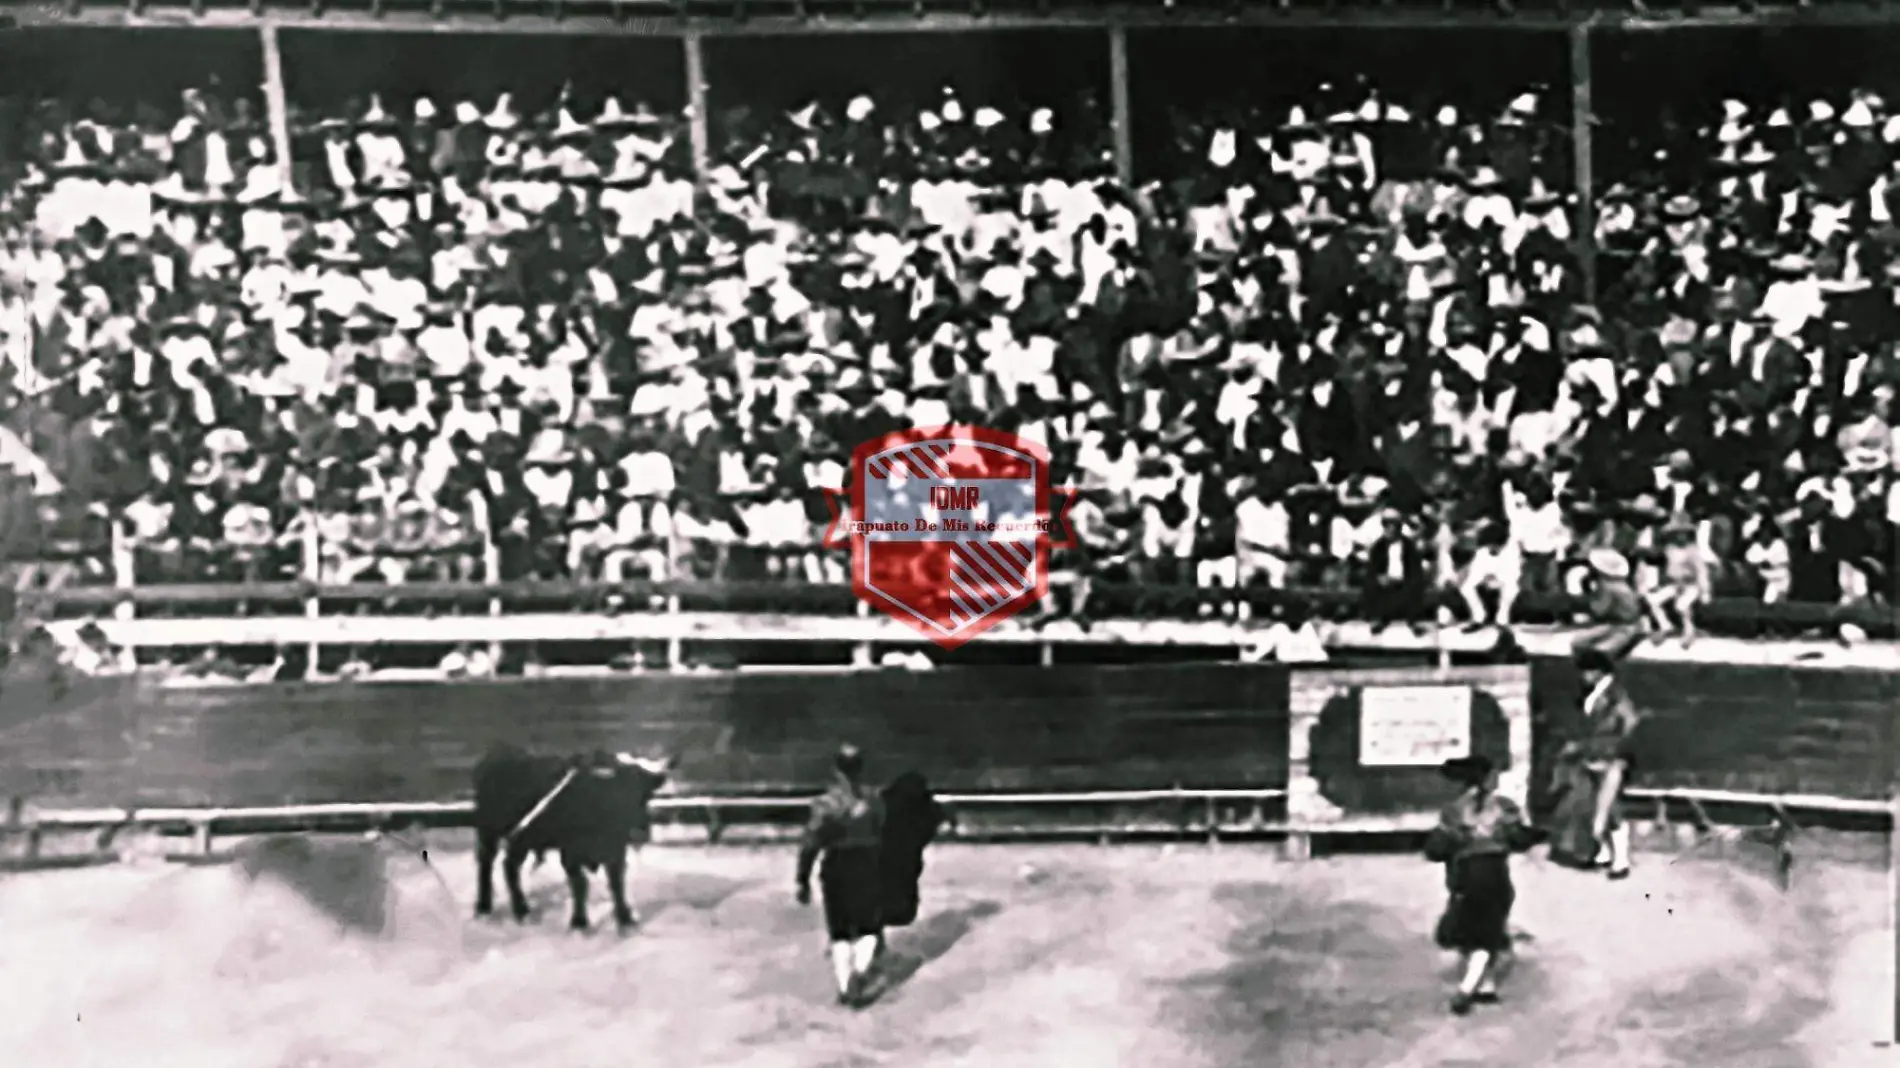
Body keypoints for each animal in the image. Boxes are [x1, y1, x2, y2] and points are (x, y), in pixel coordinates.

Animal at [473, 744, 668, 927]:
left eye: (645, 796)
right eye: (611, 796)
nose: (639, 833)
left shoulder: (617, 851)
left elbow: (616, 883)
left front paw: (625, 919)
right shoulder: (570, 853)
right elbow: (580, 884)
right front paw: (579, 923)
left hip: (521, 841)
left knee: (509, 867)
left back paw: (522, 910)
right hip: (489, 833)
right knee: (486, 864)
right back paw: (485, 907)